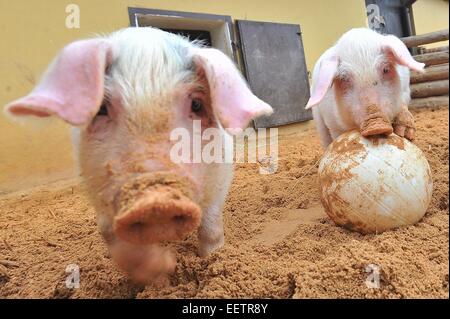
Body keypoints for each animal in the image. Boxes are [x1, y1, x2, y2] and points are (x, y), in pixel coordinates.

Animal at [5, 26, 272, 282]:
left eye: (196, 104)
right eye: (101, 108)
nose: (156, 202)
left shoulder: (219, 177)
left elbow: (210, 226)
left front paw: (213, 260)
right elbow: (115, 239)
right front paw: (164, 269)